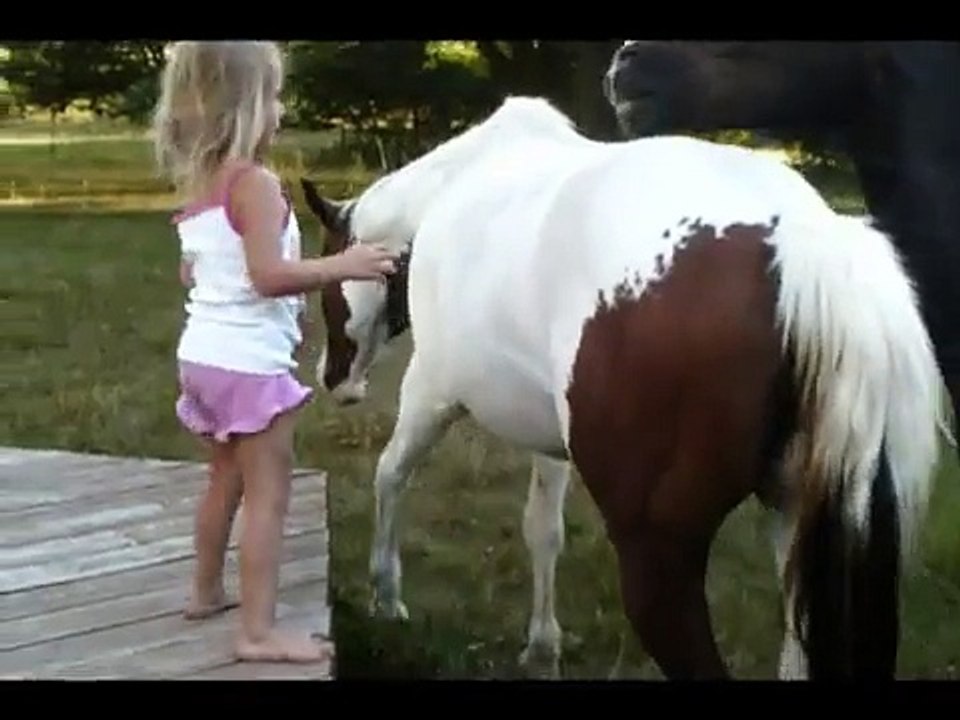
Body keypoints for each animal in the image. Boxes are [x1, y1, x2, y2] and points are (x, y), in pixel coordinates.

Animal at [299, 95, 946, 679]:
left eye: (327, 274)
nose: (332, 379)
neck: (453, 191)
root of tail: (808, 252)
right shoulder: (548, 438)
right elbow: (543, 530)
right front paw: (542, 649)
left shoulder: (432, 389)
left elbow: (391, 474)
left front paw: (387, 599)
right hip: (801, 539)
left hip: (658, 559)